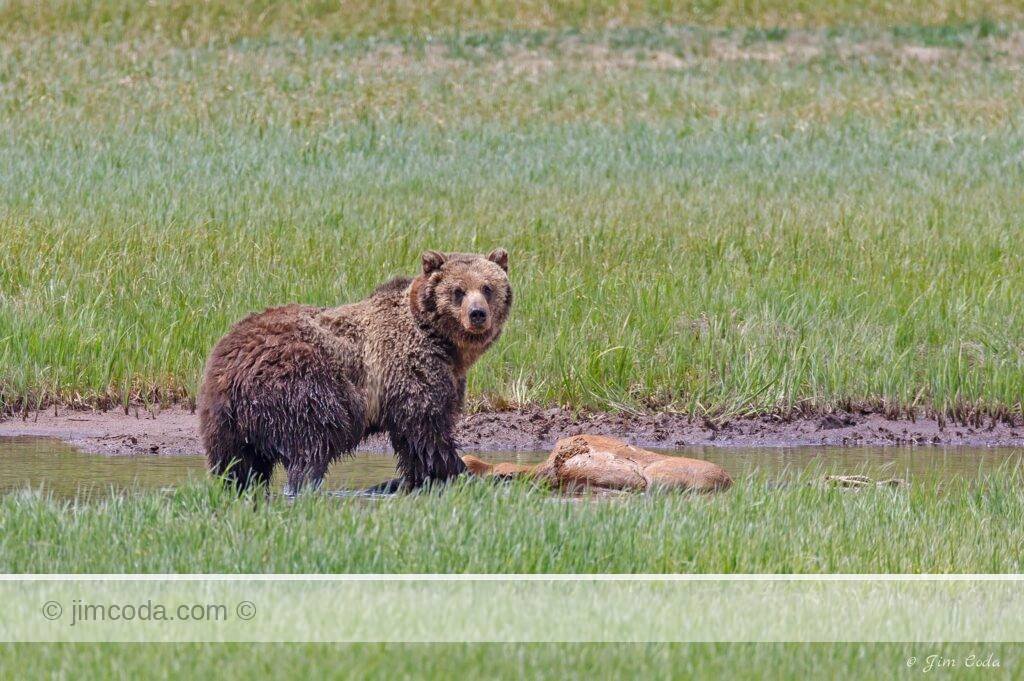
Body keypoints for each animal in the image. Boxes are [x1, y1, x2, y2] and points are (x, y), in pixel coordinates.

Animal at [197, 248, 511, 493]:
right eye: (458, 291)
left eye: (487, 288)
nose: (477, 314)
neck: (444, 344)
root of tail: (233, 368)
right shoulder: (411, 366)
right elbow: (427, 431)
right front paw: (460, 473)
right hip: (300, 385)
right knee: (311, 445)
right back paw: (304, 486)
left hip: (223, 419)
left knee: (236, 464)